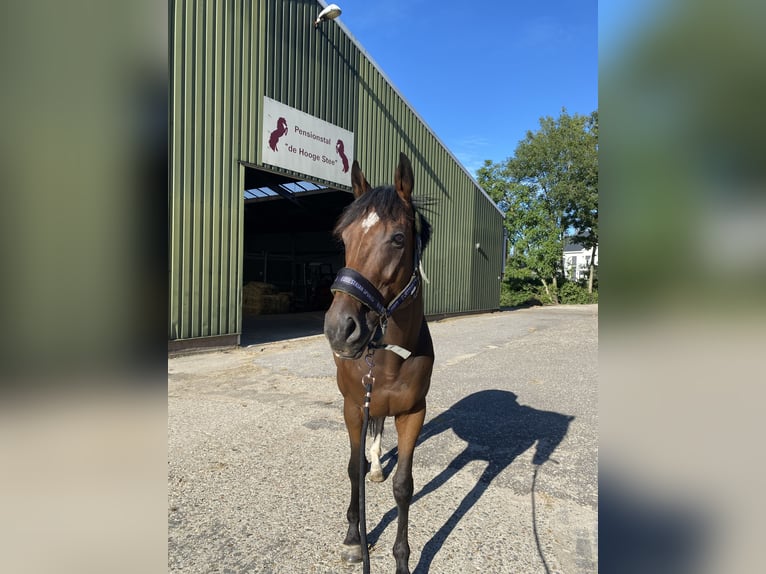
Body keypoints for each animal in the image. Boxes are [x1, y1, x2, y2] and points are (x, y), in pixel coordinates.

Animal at [322, 153, 432, 574]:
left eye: (398, 238)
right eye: (344, 238)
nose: (340, 329)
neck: (385, 358)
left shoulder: (413, 413)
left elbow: (405, 486)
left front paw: (402, 560)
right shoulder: (353, 407)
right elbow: (352, 469)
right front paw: (355, 540)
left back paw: (379, 467)